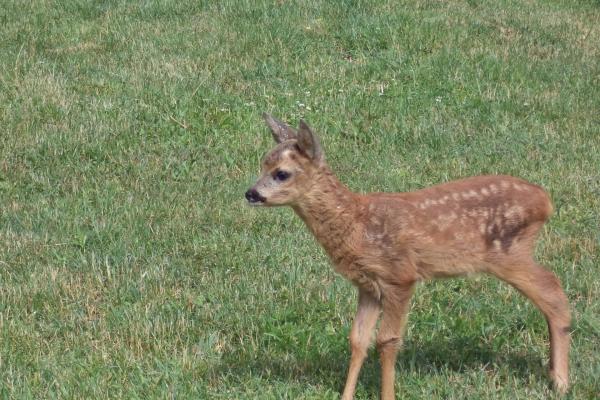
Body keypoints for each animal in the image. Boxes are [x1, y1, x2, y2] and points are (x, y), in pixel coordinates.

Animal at [245, 114, 572, 398]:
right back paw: (553, 373)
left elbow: (387, 340)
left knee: (554, 293)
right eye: (262, 163)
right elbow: (358, 339)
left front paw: (387, 395)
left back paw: (561, 382)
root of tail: (546, 201)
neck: (356, 223)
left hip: (510, 252)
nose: (250, 193)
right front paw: (346, 395)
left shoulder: (400, 275)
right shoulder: (368, 285)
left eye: (281, 173)